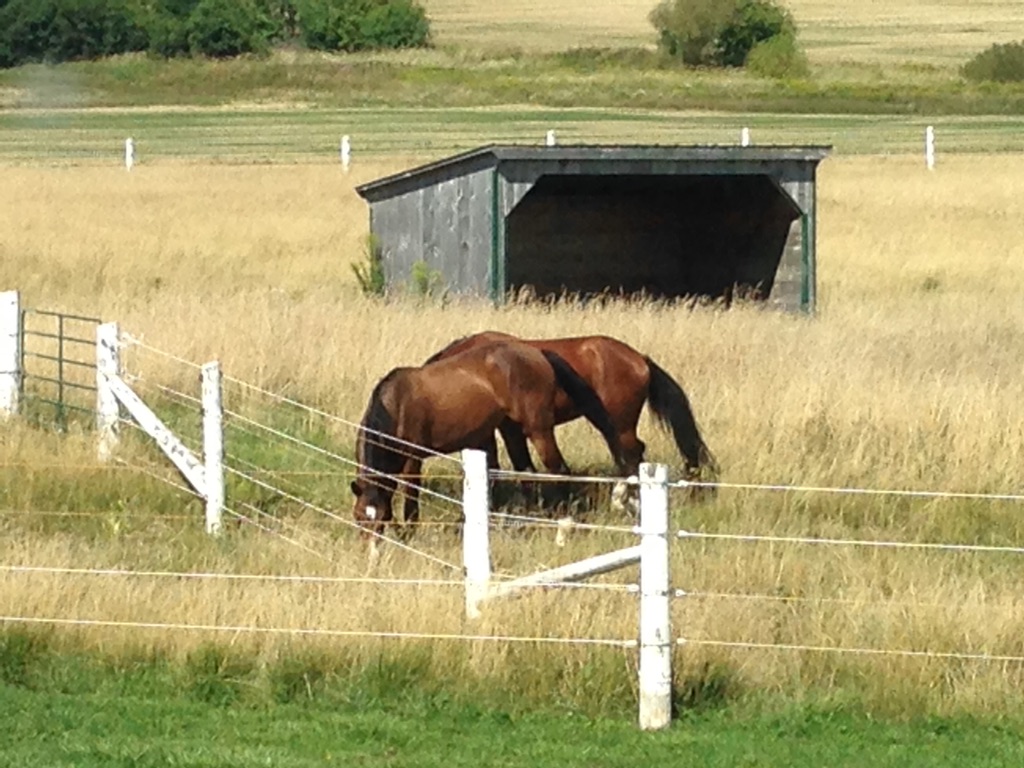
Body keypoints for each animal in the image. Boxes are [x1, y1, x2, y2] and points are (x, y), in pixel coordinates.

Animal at [352, 342, 622, 536]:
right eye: (359, 518)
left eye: (380, 518)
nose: (373, 553)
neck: (396, 404)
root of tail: (538, 353)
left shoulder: (412, 458)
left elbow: (411, 492)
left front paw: (410, 530)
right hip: (512, 431)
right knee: (527, 473)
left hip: (538, 430)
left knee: (559, 470)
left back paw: (562, 517)